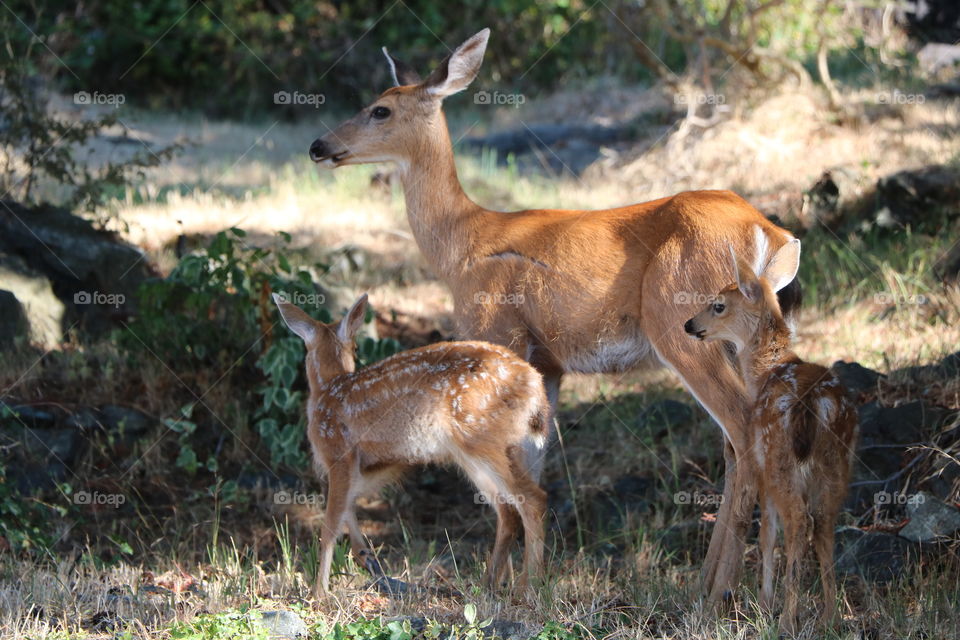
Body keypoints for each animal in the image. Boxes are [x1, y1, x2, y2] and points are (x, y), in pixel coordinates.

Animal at [310, 28, 804, 600]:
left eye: (381, 109)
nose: (319, 146)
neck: (463, 245)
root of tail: (767, 231)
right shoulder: (547, 365)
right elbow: (535, 459)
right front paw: (528, 580)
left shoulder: (496, 331)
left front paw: (503, 584)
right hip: (729, 336)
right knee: (738, 438)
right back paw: (709, 582)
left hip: (680, 323)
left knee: (742, 431)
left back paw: (718, 591)